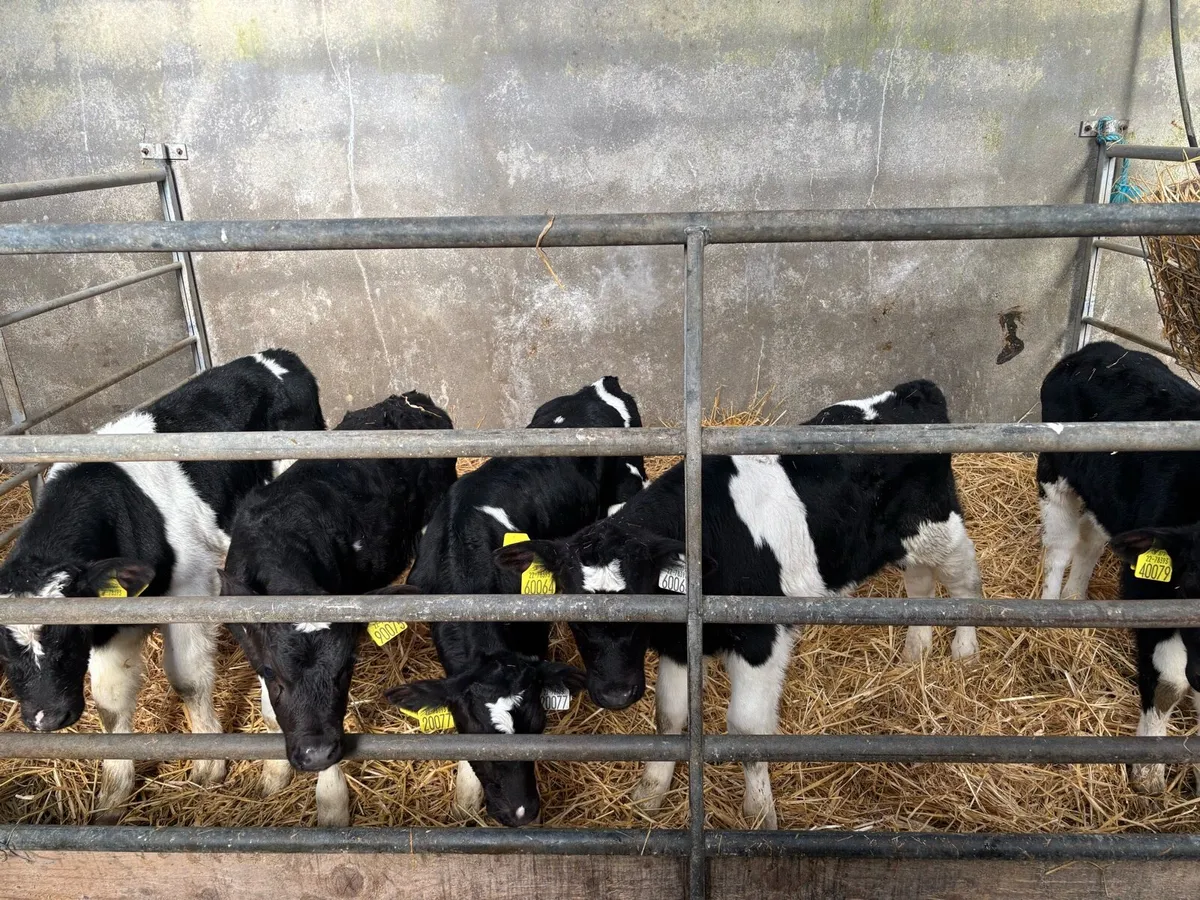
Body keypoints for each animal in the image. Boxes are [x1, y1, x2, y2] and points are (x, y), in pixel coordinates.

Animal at [0, 349, 324, 822]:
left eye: (68, 636)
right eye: (3, 653)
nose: (48, 719)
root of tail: (274, 355)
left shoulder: (189, 587)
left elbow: (188, 680)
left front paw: (208, 765)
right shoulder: (112, 615)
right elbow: (110, 703)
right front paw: (113, 797)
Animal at [217, 390, 456, 826]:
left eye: (347, 669)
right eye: (272, 673)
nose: (314, 755)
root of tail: (408, 399)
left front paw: (331, 800)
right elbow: (268, 709)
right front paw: (274, 772)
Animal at [495, 380, 983, 829]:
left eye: (643, 603)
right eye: (575, 620)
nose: (615, 694)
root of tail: (914, 390)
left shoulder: (759, 637)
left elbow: (747, 731)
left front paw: (759, 814)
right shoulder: (678, 644)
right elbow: (669, 718)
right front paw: (649, 795)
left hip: (938, 525)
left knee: (965, 584)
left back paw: (964, 650)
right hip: (904, 542)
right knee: (920, 585)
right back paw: (916, 651)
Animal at [1038, 340, 1200, 793]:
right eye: (1190, 585)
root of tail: (1095, 349)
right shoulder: (1151, 592)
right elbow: (1168, 683)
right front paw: (1147, 773)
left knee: (1092, 540)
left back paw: (1076, 598)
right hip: (1056, 474)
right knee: (1059, 546)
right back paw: (1051, 609)